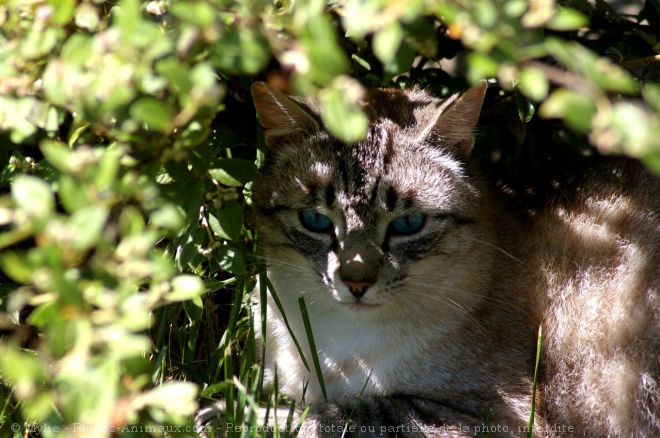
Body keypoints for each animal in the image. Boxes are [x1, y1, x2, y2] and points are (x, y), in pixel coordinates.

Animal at [197, 83, 660, 438]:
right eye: (316, 221)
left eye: (408, 224)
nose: (356, 282)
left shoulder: (495, 415)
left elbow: (344, 415)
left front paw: (218, 415)